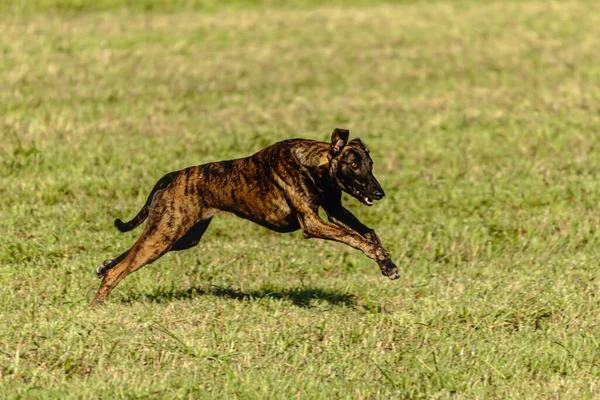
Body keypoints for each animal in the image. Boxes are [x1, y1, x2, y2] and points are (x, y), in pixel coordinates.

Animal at [89, 128, 398, 306]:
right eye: (354, 164)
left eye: (370, 164)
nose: (379, 193)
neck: (312, 164)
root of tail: (173, 176)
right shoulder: (312, 223)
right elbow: (356, 238)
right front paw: (381, 259)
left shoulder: (335, 212)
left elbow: (368, 233)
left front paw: (387, 263)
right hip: (165, 234)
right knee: (122, 268)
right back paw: (98, 304)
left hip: (179, 236)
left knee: (129, 253)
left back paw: (104, 266)